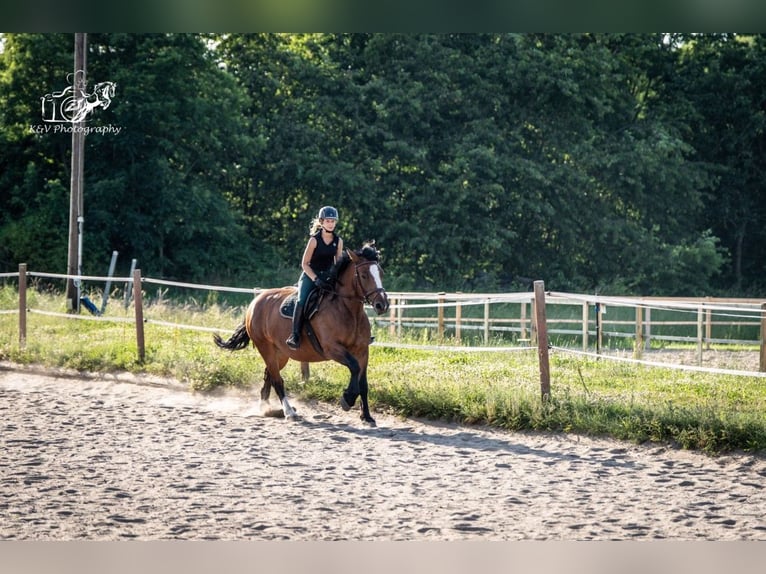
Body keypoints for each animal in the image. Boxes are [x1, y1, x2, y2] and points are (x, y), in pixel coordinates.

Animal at [213, 243, 390, 428]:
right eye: (363, 275)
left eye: (381, 273)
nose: (382, 305)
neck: (347, 310)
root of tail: (255, 302)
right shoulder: (332, 349)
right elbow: (354, 368)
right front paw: (347, 399)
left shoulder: (362, 351)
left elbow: (363, 383)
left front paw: (367, 416)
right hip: (265, 348)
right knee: (277, 380)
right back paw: (289, 412)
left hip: (280, 354)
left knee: (269, 375)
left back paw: (267, 409)